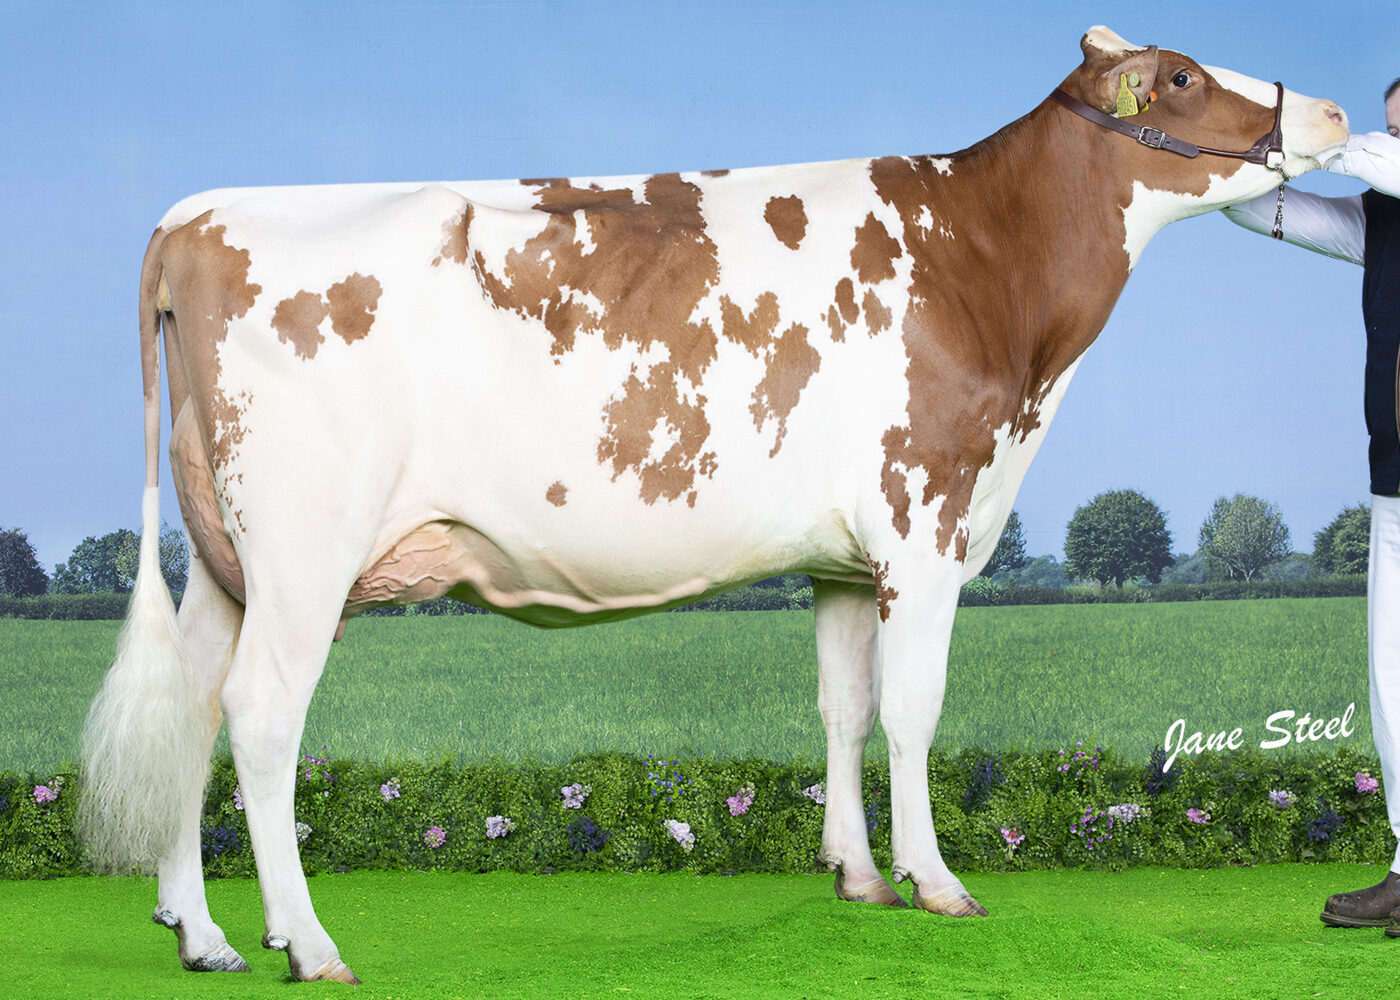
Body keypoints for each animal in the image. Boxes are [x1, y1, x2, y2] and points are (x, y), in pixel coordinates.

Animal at [80, 27, 1348, 983]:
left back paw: (203, 937)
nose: (1334, 111)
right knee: (259, 716)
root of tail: (196, 218)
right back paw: (306, 942)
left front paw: (858, 876)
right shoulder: (923, 518)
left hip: (225, 561)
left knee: (189, 708)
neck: (984, 266)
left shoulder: (842, 558)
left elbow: (841, 707)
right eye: (1179, 76)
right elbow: (913, 710)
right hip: (305, 550)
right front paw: (938, 883)